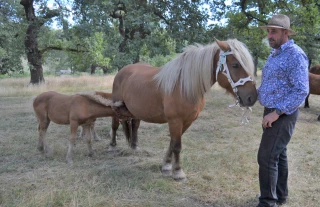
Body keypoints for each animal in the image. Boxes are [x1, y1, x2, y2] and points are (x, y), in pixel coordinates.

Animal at [112, 39, 258, 181]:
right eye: (235, 65)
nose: (252, 97)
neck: (183, 86)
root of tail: (122, 71)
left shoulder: (188, 121)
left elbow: (172, 143)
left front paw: (166, 165)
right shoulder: (175, 121)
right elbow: (176, 146)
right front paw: (178, 172)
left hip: (135, 111)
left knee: (135, 125)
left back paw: (134, 147)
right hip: (115, 108)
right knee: (114, 126)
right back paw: (112, 146)